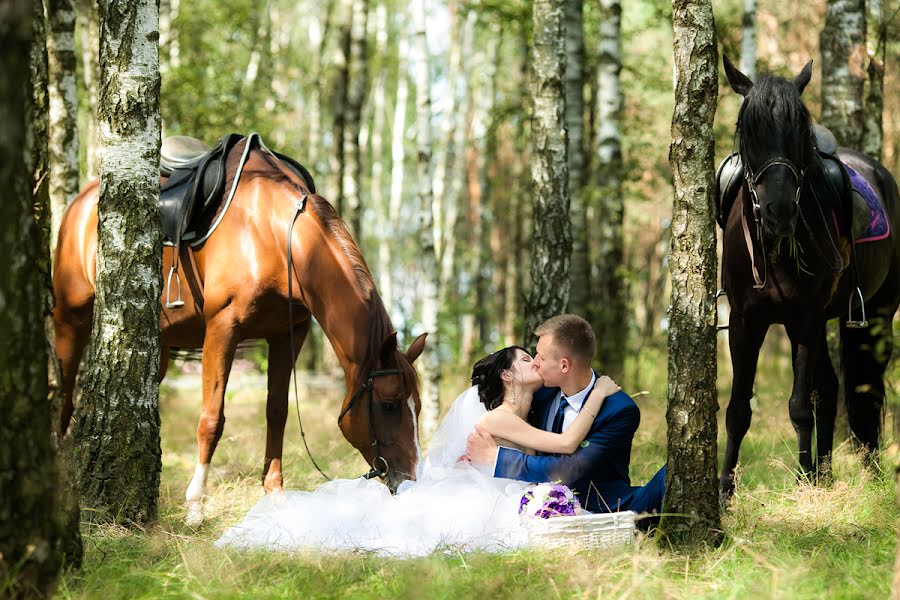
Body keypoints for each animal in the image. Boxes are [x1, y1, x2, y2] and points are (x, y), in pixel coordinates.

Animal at [54, 139, 428, 520]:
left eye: (418, 405)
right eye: (388, 405)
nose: (410, 480)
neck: (275, 236)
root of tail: (81, 202)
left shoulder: (287, 335)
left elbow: (276, 412)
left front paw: (275, 493)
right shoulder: (223, 327)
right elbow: (211, 419)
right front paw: (195, 505)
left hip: (157, 345)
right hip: (70, 319)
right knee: (63, 396)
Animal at [716, 55, 900, 502]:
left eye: (800, 131)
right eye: (747, 129)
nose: (780, 211)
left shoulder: (804, 319)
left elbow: (800, 405)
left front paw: (803, 483)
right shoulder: (746, 322)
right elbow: (737, 410)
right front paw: (725, 492)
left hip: (875, 316)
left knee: (864, 392)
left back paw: (867, 473)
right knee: (831, 389)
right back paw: (826, 473)